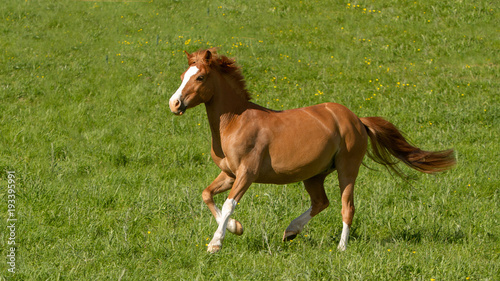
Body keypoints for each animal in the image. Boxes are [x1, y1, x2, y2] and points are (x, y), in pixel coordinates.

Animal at [169, 47, 458, 252]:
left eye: (200, 77)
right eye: (182, 77)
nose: (174, 103)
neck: (235, 122)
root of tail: (357, 119)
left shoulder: (247, 173)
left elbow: (229, 203)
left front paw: (215, 243)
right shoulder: (229, 174)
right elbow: (207, 195)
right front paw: (235, 227)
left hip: (347, 170)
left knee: (346, 207)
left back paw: (341, 247)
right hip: (314, 175)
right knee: (321, 202)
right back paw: (290, 231)